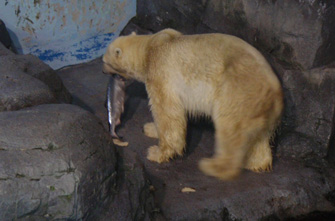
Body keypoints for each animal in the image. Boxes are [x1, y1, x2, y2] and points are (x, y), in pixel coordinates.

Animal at [102, 28, 284, 180]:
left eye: (104, 61)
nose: (103, 71)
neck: (149, 47)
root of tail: (274, 91)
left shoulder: (161, 70)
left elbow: (167, 112)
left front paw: (157, 152)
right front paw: (150, 128)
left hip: (236, 92)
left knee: (230, 130)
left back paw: (213, 166)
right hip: (258, 107)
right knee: (258, 136)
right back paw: (257, 163)